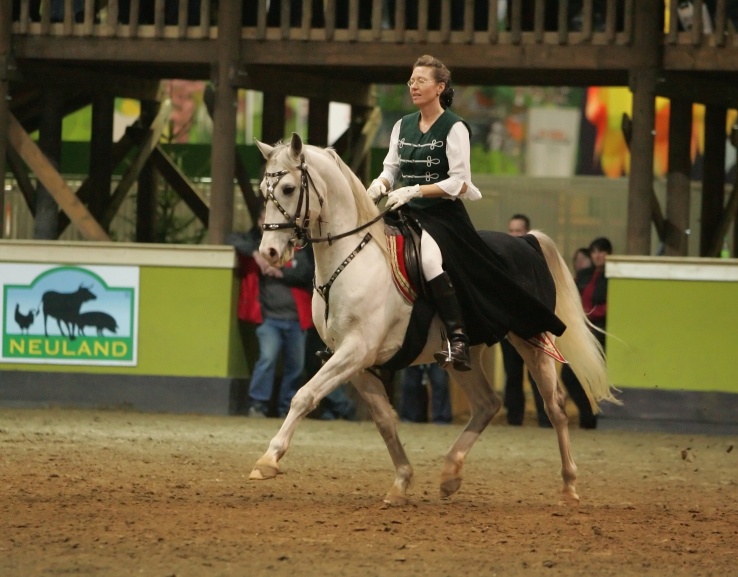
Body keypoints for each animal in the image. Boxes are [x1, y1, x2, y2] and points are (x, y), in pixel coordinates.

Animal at [247, 134, 616, 504]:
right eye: (263, 191)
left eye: (289, 188)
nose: (268, 253)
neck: (352, 258)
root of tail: (525, 241)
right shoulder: (355, 360)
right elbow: (384, 419)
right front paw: (401, 481)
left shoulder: (357, 350)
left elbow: (304, 395)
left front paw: (268, 459)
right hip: (463, 356)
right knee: (487, 403)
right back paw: (451, 474)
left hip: (532, 338)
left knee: (554, 406)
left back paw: (568, 487)